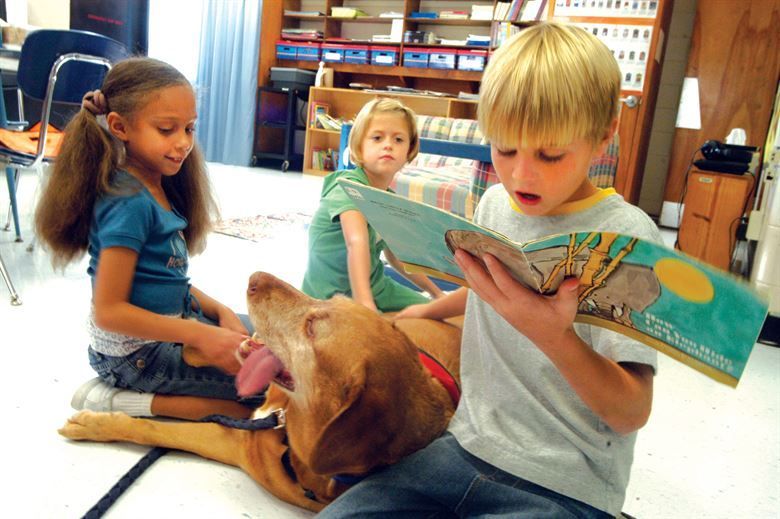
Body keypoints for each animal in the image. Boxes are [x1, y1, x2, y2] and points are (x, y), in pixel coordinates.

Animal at [62, 272, 464, 512]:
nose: (255, 277)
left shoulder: (235, 440)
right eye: (330, 299)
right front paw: (98, 425)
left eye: (314, 326)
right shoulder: (238, 434)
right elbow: (150, 427)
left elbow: (160, 428)